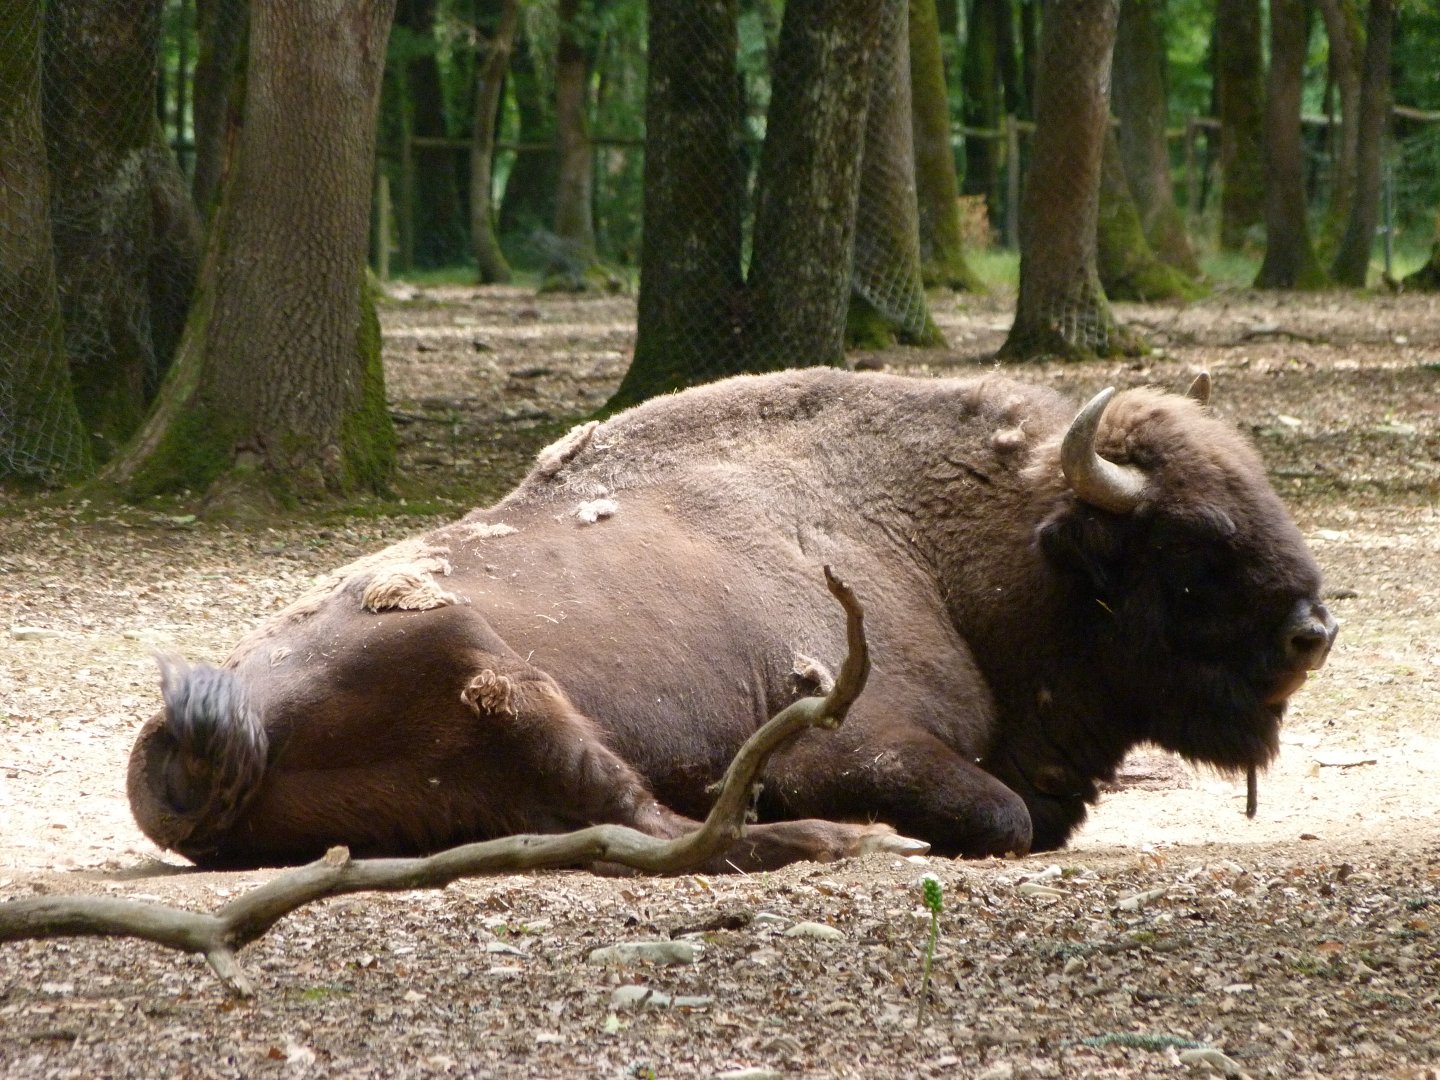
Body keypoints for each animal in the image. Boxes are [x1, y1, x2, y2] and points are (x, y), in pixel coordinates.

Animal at [128, 368, 1336, 870]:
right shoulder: (850, 743)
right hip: (488, 672)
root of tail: (200, 732)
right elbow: (999, 817)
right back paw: (834, 842)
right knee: (648, 827)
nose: (1311, 634)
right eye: (1194, 551)